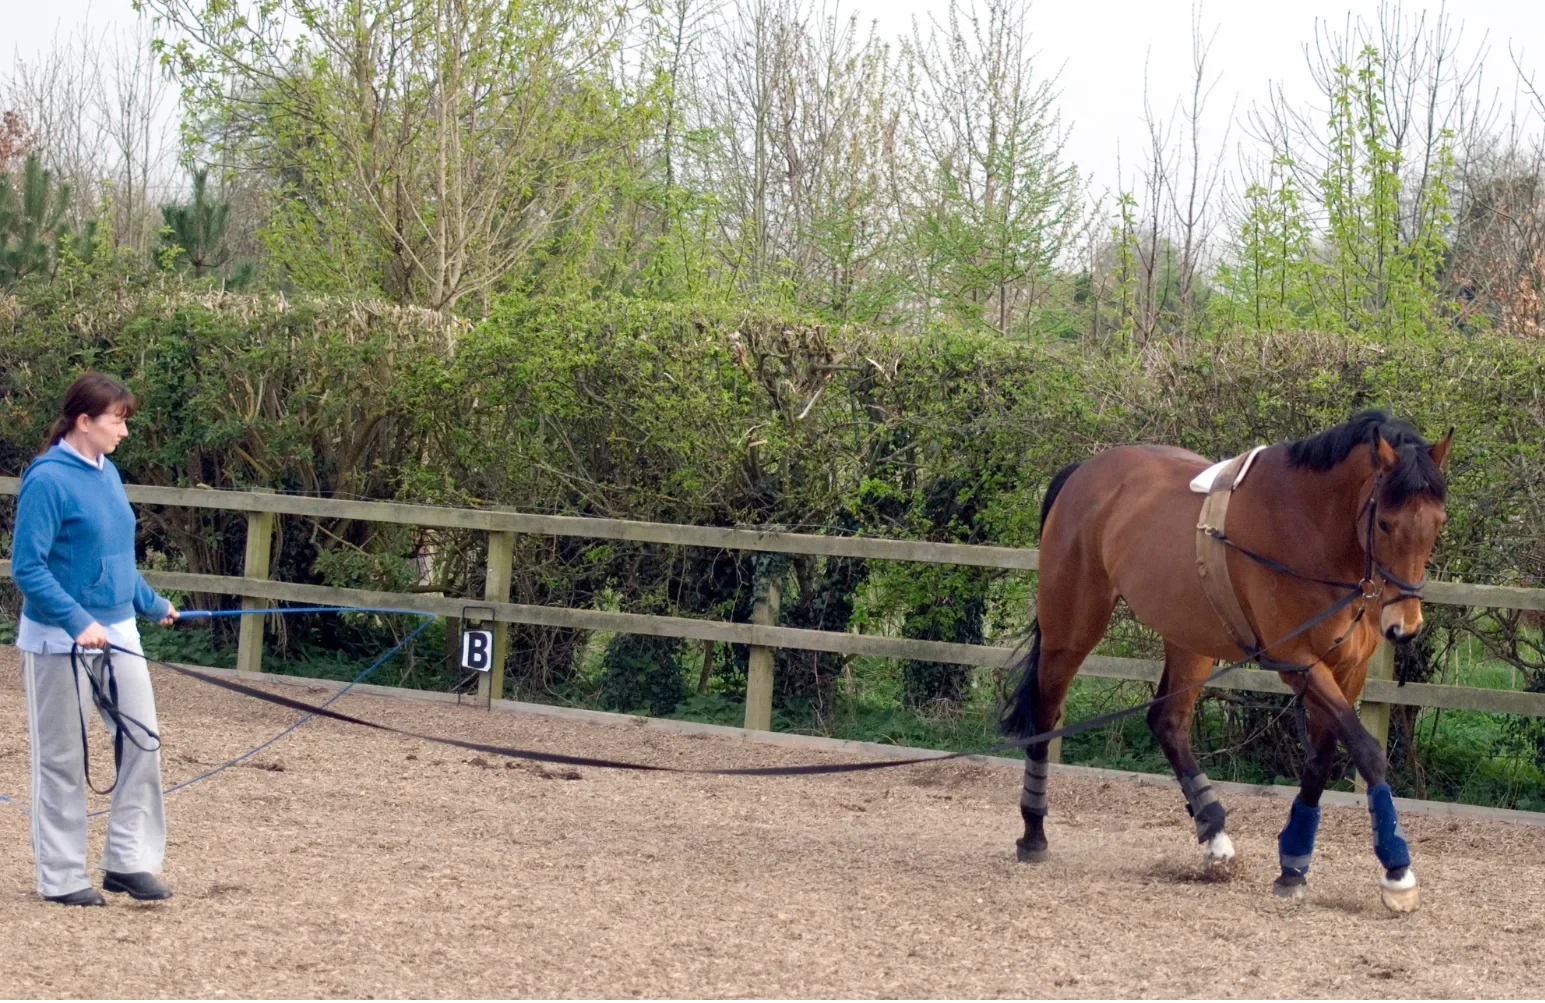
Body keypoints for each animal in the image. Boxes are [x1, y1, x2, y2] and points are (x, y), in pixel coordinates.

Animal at [1001, 409, 1451, 913]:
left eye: (1437, 522)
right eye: (1386, 523)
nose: (1404, 627)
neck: (1314, 527)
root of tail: (1084, 472)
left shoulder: (1346, 670)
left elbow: (1320, 760)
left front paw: (1293, 865)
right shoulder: (1297, 661)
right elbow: (1367, 751)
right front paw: (1397, 871)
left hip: (1190, 637)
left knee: (1168, 723)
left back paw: (1214, 833)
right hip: (1071, 632)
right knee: (1047, 714)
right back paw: (1034, 833)